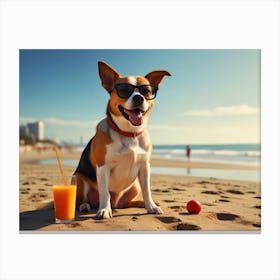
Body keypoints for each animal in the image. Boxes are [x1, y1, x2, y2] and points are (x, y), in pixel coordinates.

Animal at [74, 60, 170, 219]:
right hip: (77, 178)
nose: (138, 98)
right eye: (125, 90)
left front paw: (151, 206)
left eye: (146, 91)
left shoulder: (145, 167)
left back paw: (140, 204)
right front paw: (104, 210)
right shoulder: (103, 167)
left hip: (134, 186)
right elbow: (105, 193)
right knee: (82, 200)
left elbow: (147, 191)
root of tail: (116, 203)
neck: (129, 133)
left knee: (125, 204)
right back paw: (86, 206)